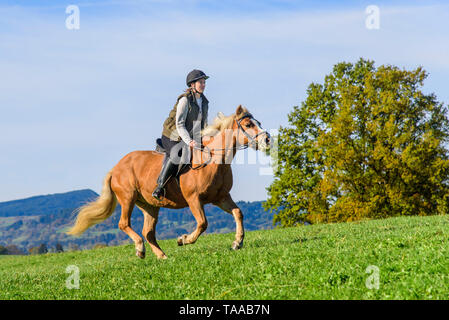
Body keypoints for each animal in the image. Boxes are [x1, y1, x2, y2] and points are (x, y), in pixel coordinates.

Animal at [65, 106, 270, 258]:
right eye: (248, 124)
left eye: (258, 123)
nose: (268, 140)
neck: (213, 159)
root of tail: (115, 168)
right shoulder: (194, 199)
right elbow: (203, 223)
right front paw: (183, 239)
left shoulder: (220, 197)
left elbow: (238, 213)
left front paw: (237, 243)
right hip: (127, 198)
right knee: (124, 224)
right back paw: (140, 249)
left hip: (149, 205)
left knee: (148, 232)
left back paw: (162, 256)